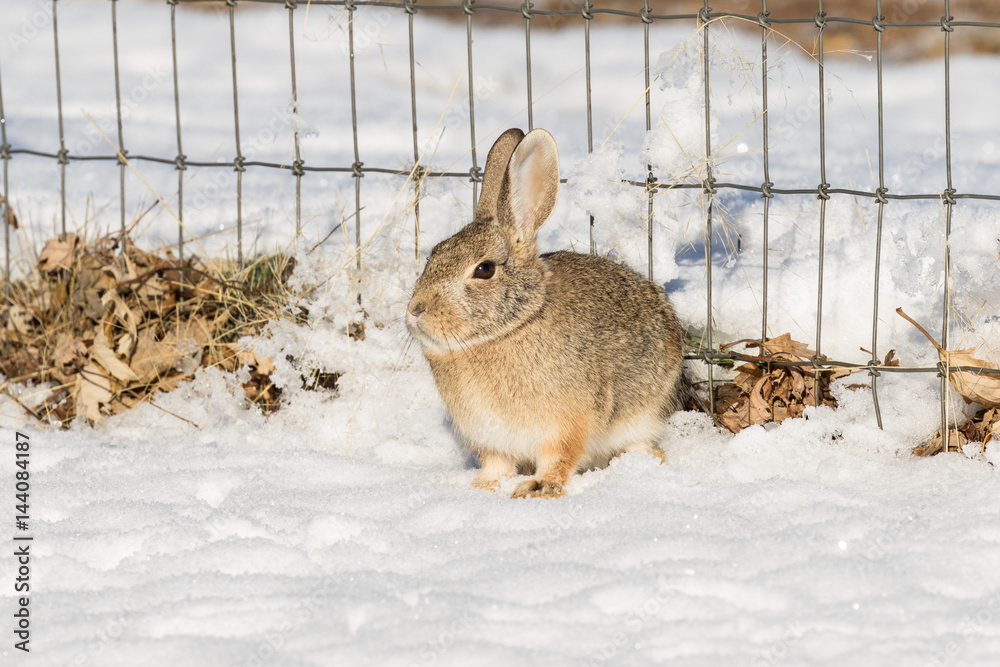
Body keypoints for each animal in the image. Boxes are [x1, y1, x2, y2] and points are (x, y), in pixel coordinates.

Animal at [406, 127, 685, 499]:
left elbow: (560, 458)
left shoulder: (566, 426)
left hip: (641, 414)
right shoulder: (491, 438)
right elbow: (497, 464)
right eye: (433, 255)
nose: (416, 309)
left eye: (484, 269)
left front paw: (538, 488)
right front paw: (483, 487)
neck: (509, 328)